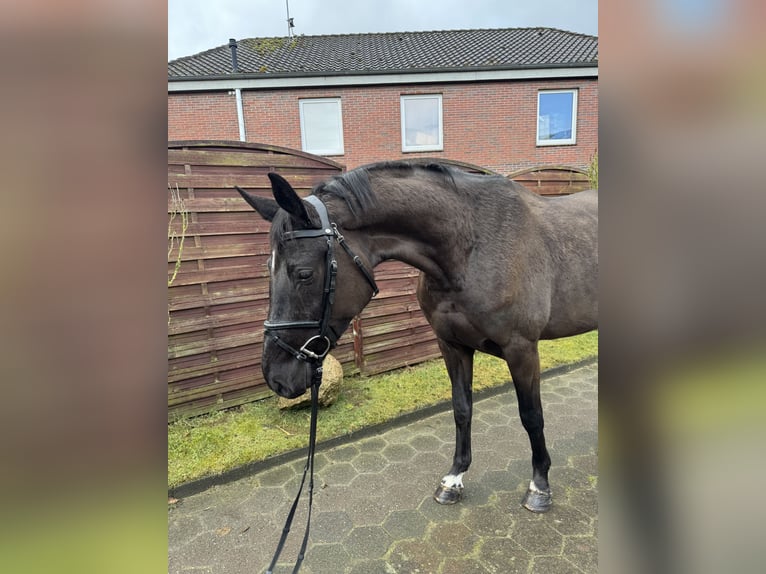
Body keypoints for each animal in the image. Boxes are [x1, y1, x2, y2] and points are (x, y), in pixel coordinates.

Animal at [237, 162, 596, 512]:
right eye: (268, 267)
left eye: (304, 274)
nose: (276, 376)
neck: (472, 248)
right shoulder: (452, 346)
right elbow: (462, 409)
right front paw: (454, 479)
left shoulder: (521, 349)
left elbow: (531, 416)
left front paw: (539, 486)